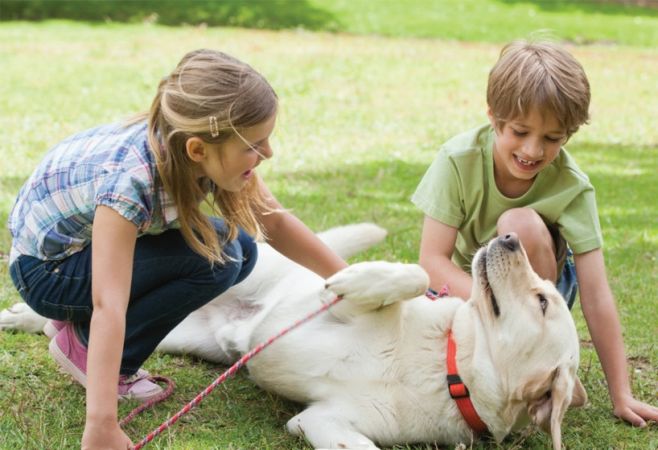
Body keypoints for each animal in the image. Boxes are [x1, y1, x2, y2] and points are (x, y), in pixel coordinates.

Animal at [1, 223, 584, 448]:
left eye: (542, 300)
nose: (509, 238)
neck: (448, 365)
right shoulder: (322, 305)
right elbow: (414, 276)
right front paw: (359, 278)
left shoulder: (323, 420)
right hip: (237, 265)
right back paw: (17, 315)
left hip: (185, 337)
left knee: (82, 329)